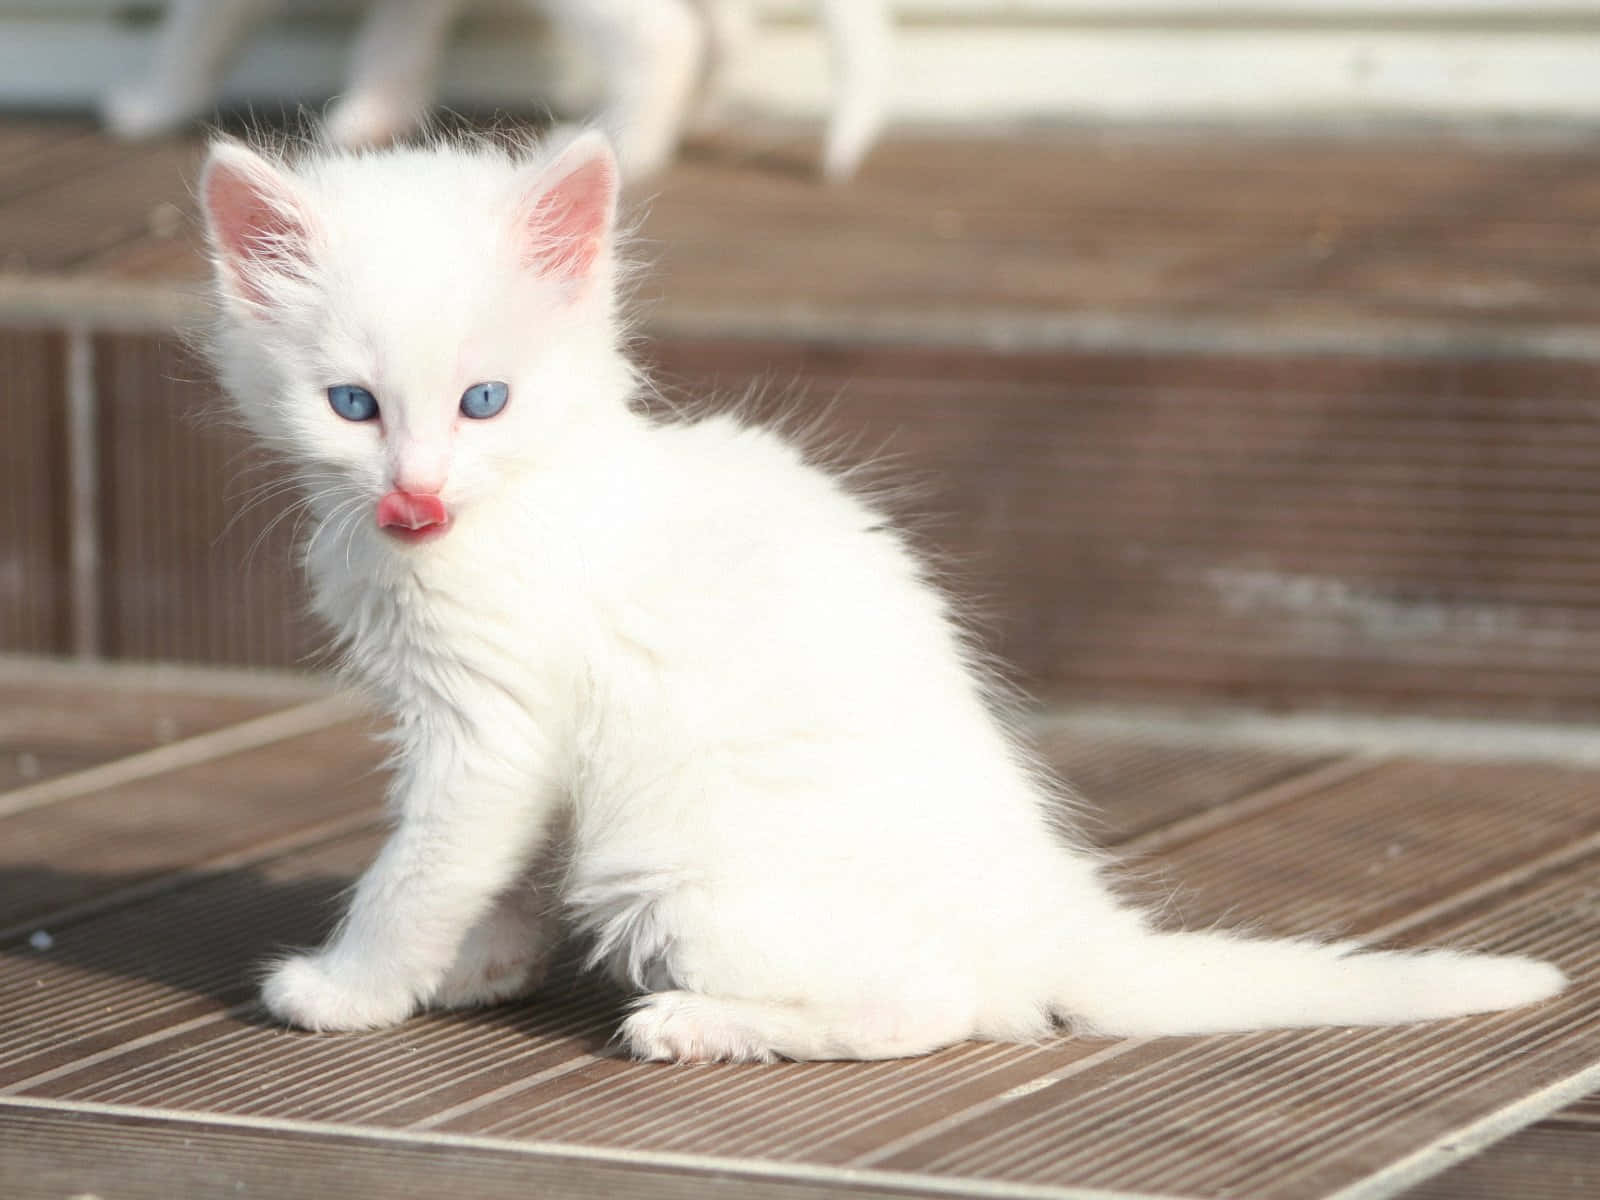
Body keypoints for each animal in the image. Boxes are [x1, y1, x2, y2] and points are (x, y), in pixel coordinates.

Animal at [196, 136, 1561, 1068]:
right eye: (352, 408)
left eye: (485, 402)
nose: (415, 492)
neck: (521, 497)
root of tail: (1053, 909)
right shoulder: (496, 739)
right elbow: (493, 863)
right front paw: (490, 960)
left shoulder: (490, 726)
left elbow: (422, 866)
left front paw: (352, 985)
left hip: (675, 868)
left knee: (937, 1006)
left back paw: (695, 1022)